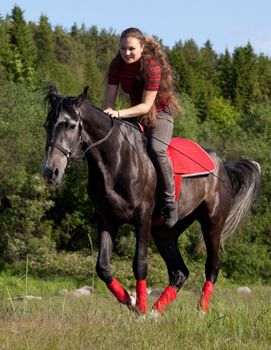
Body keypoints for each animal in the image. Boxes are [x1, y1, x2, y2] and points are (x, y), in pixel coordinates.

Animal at [42, 86, 262, 316]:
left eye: (70, 125)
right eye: (47, 124)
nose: (50, 171)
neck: (116, 159)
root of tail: (223, 167)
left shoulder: (143, 217)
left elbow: (140, 264)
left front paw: (140, 308)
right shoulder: (107, 220)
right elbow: (103, 267)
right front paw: (130, 300)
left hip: (212, 223)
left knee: (212, 266)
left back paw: (200, 311)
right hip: (165, 232)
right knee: (179, 271)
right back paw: (156, 312)